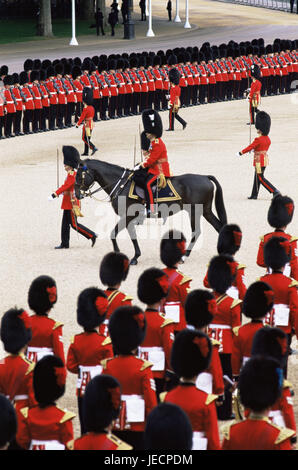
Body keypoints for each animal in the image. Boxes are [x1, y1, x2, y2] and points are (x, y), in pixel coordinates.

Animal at [74, 160, 226, 264]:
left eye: (79, 176)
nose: (77, 194)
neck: (121, 185)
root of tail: (205, 177)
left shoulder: (127, 215)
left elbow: (114, 234)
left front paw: (119, 254)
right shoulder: (129, 217)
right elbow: (132, 235)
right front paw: (135, 256)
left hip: (194, 211)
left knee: (197, 232)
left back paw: (184, 255)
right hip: (205, 211)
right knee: (218, 227)